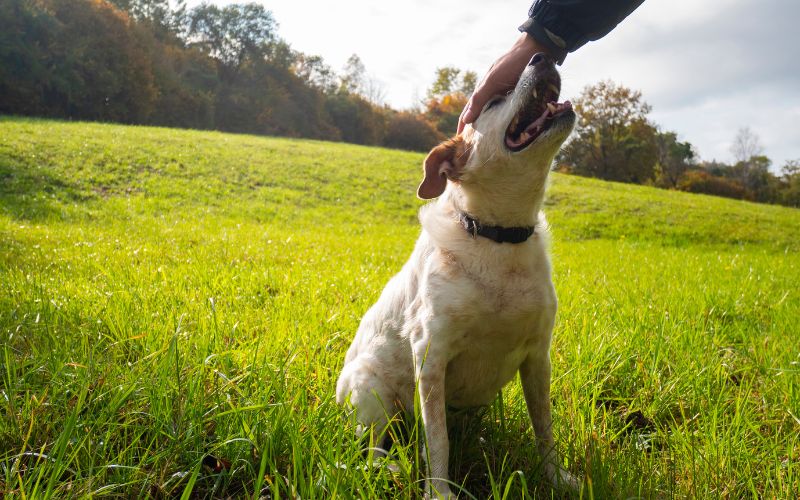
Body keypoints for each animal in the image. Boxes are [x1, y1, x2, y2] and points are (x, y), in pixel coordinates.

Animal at [336, 54, 576, 496]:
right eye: (494, 99)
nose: (541, 56)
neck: (499, 238)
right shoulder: (431, 356)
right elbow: (438, 439)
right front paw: (440, 492)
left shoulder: (538, 357)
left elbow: (545, 429)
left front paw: (555, 478)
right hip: (372, 393)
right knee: (371, 445)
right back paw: (389, 467)